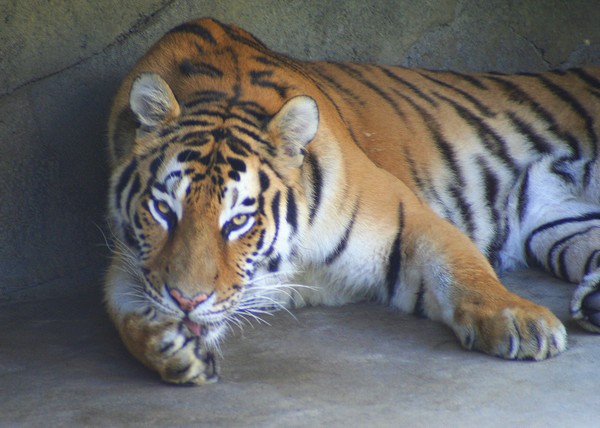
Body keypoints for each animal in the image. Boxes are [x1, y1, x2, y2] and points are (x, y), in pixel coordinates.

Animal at [104, 16, 600, 384]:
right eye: (164, 210)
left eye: (238, 221)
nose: (186, 301)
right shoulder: (129, 259)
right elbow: (122, 314)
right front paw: (170, 347)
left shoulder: (407, 217)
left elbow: (464, 269)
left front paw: (521, 321)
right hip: (557, 223)